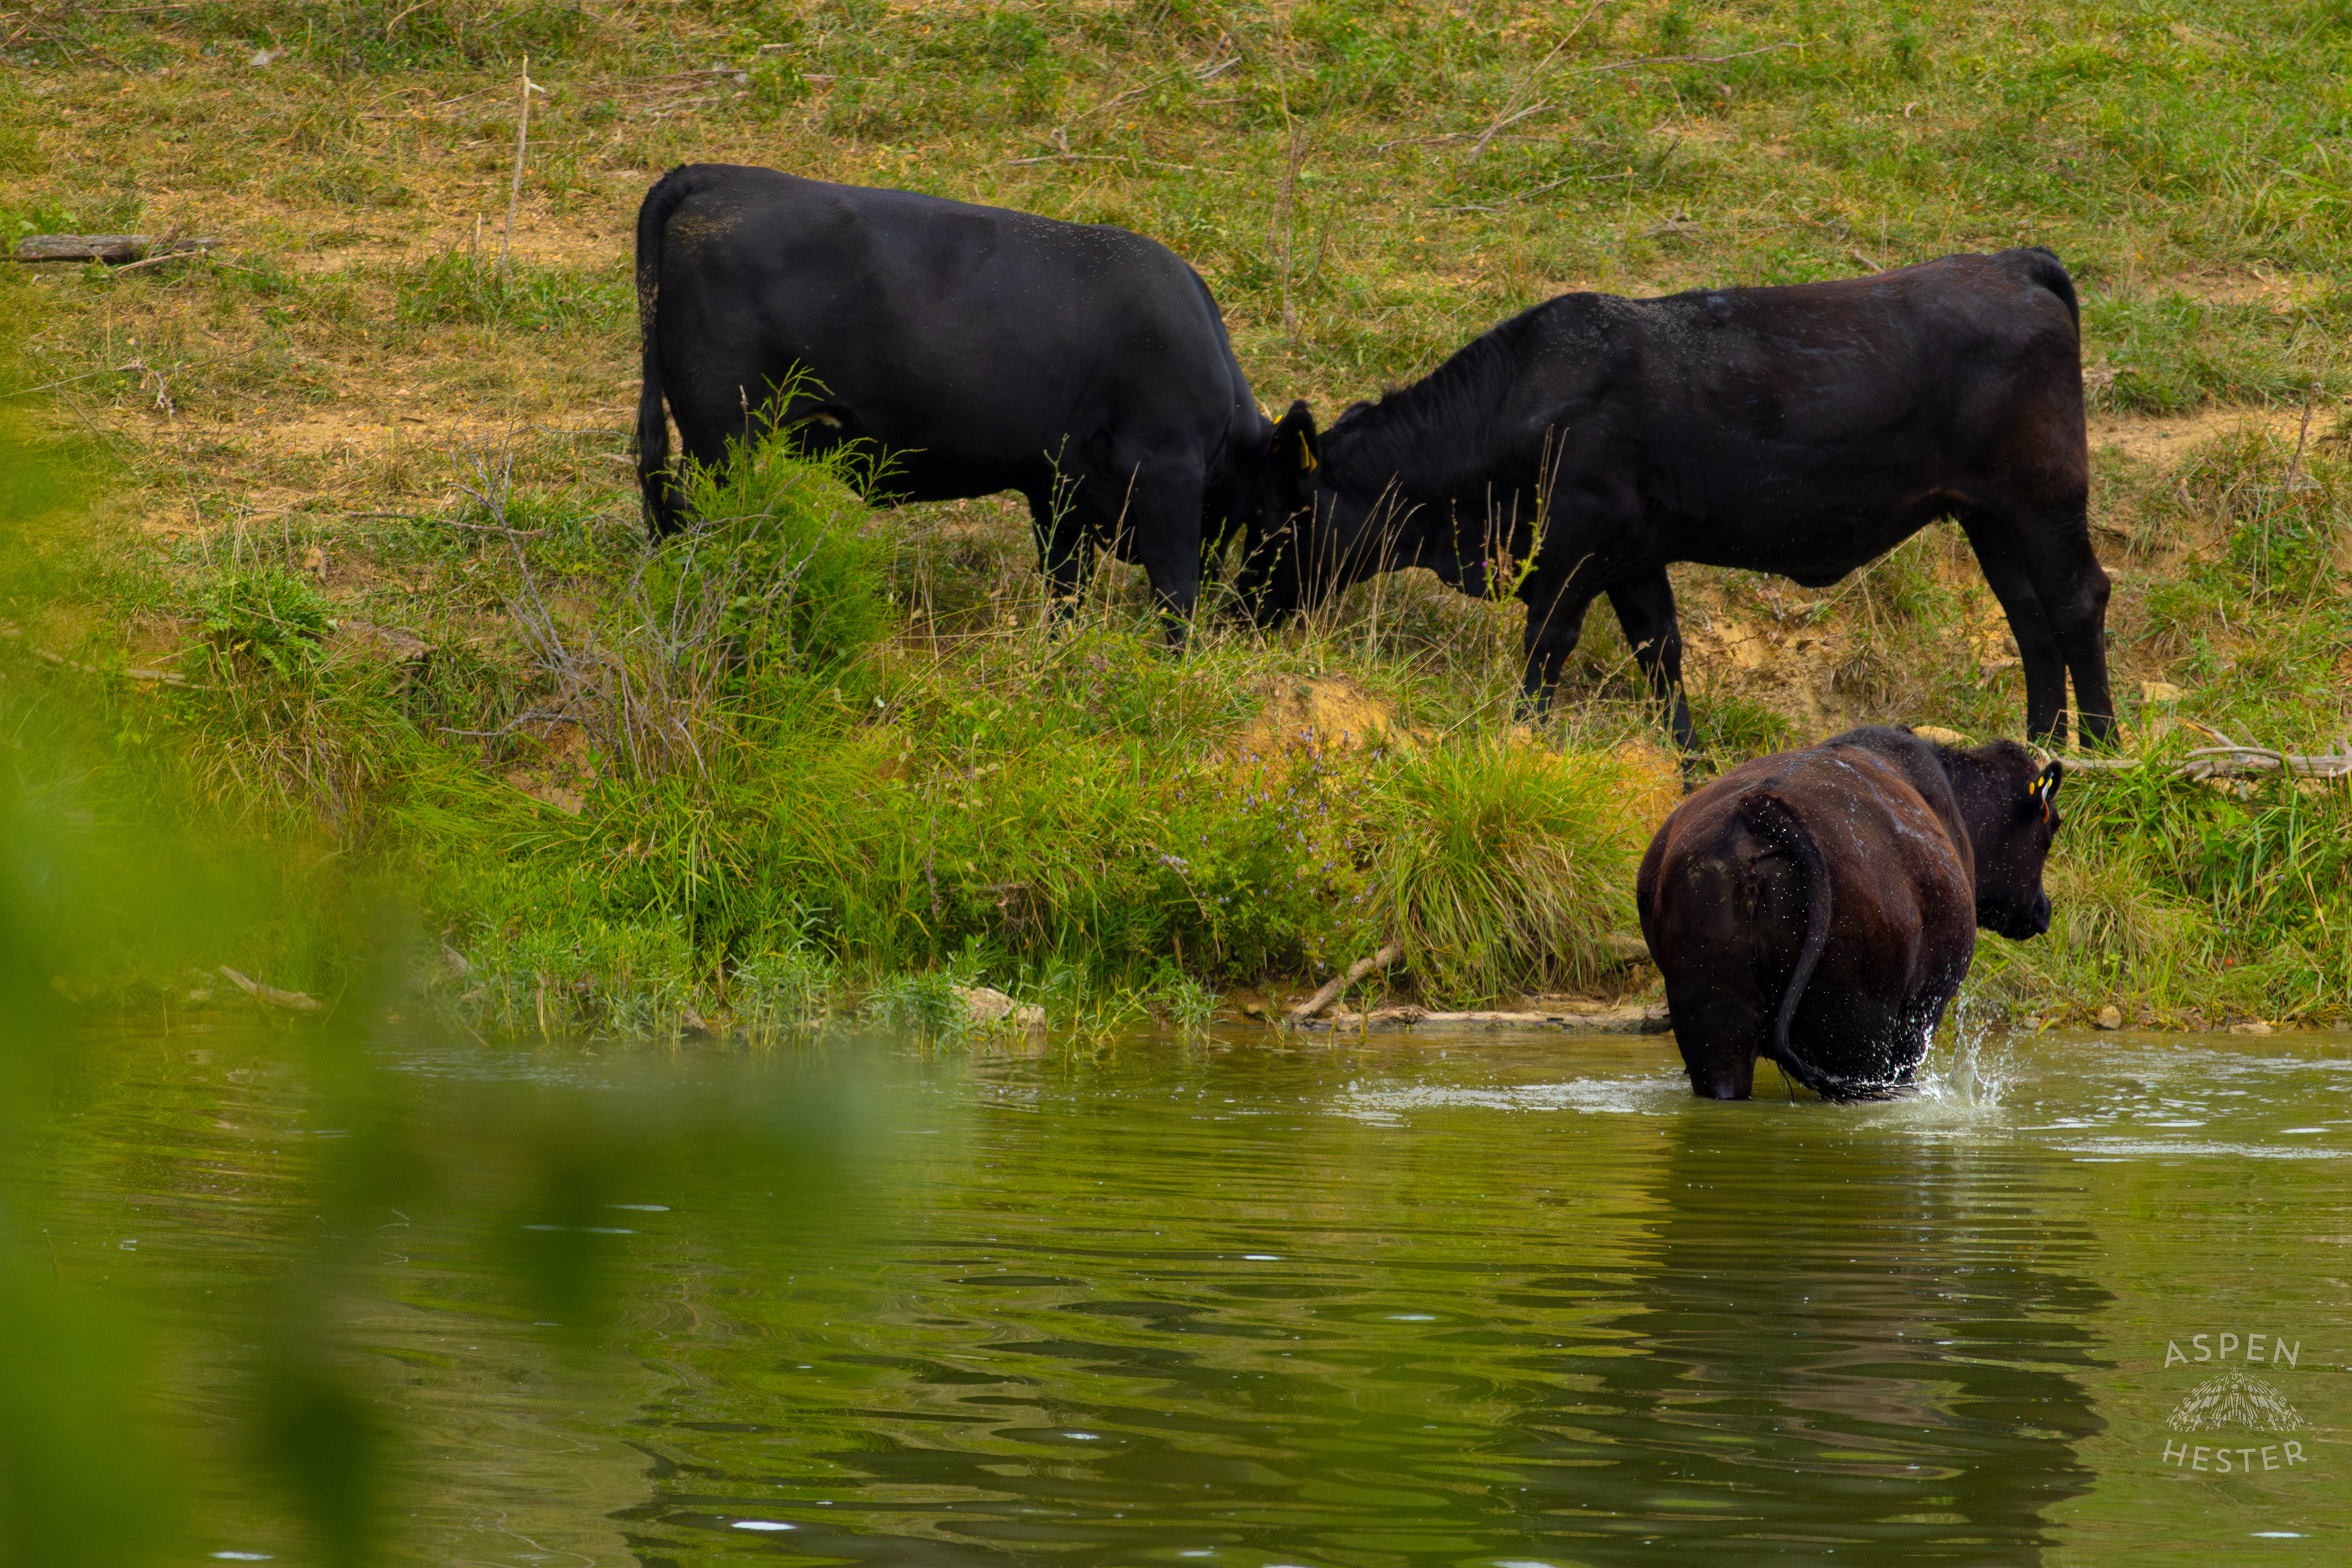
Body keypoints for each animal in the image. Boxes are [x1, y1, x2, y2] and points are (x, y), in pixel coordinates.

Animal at [633, 164, 1312, 642]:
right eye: (1297, 511)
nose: (1269, 615)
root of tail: (716, 174)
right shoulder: (1167, 472)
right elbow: (1176, 587)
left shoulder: (1059, 488)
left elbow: (1067, 588)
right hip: (725, 432)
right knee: (702, 519)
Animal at [1238, 248, 2116, 751]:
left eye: (1271, 520)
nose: (1234, 605)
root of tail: (2012, 263)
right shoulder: (1634, 554)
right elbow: (1660, 652)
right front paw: (1690, 762)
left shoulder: (1579, 535)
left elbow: (1546, 641)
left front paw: (1521, 735)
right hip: (1988, 515)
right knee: (2028, 617)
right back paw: (2041, 748)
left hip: (2044, 498)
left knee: (2076, 602)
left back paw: (2101, 749)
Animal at [1636, 725, 2065, 1101]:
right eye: (2052, 827)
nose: (2043, 911)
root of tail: (1760, 809)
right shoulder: (1920, 1017)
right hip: (1858, 1029)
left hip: (1714, 1022)